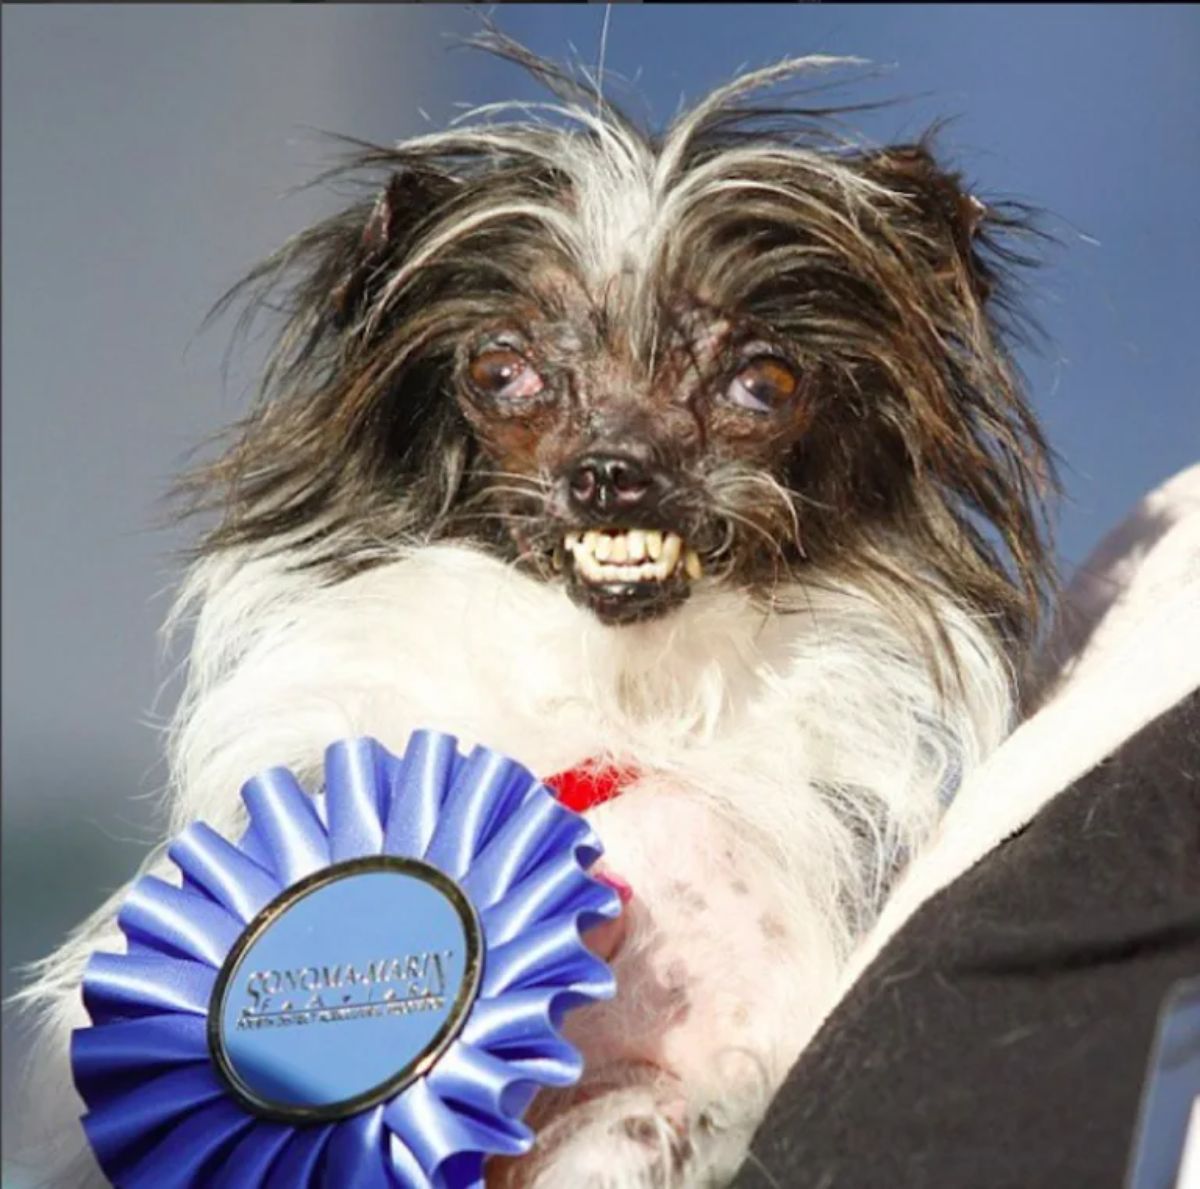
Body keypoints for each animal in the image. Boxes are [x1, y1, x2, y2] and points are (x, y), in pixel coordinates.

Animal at [16, 37, 1051, 1189]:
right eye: (503, 369)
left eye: (764, 380)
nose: (612, 474)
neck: (614, 694)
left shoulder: (724, 1047)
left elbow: (644, 1118)